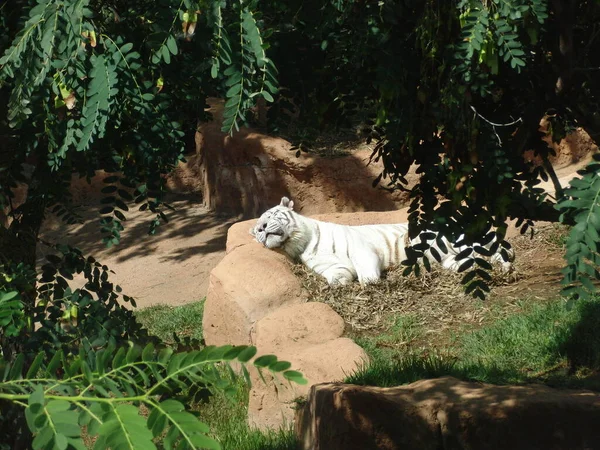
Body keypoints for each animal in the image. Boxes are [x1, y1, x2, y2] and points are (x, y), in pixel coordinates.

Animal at [250, 197, 516, 284]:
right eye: (257, 228)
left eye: (271, 215)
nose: (261, 228)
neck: (301, 243)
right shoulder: (331, 265)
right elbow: (337, 275)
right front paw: (341, 283)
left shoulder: (361, 248)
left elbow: (366, 270)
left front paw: (370, 283)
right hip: (451, 258)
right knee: (469, 261)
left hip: (459, 239)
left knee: (497, 251)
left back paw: (505, 267)